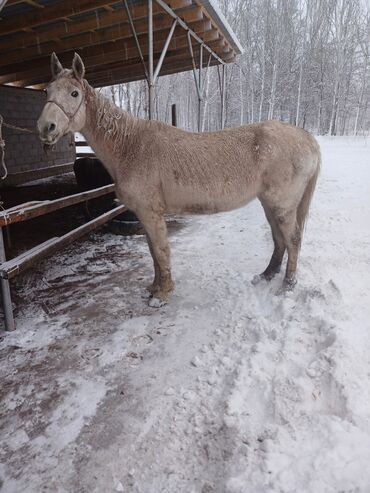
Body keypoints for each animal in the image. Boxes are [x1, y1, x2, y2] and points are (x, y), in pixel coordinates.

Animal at [38, 54, 320, 308]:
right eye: (47, 90)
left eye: (74, 93)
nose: (45, 127)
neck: (131, 147)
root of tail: (306, 137)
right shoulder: (145, 214)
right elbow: (153, 252)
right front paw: (154, 288)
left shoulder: (150, 213)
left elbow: (161, 251)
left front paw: (161, 295)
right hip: (269, 203)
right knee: (279, 238)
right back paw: (266, 275)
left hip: (282, 205)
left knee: (293, 239)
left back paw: (287, 286)